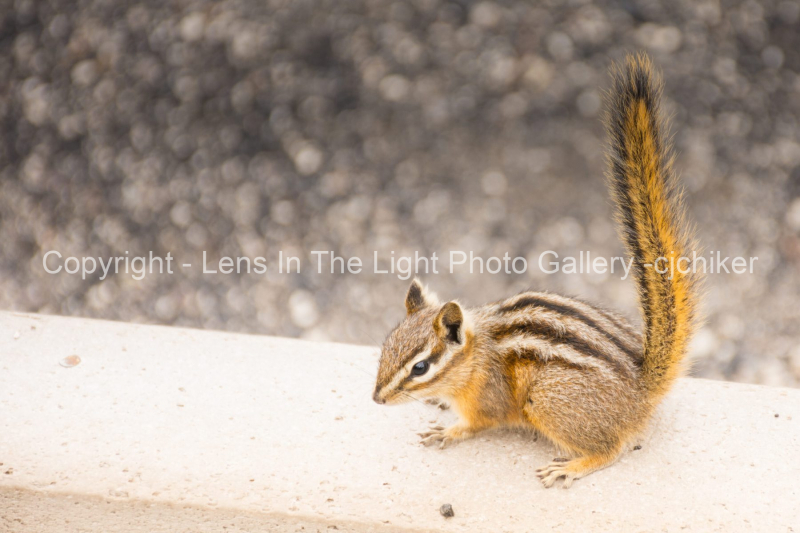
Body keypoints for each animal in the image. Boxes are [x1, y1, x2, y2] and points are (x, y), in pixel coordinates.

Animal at [371, 54, 701, 489]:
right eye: (385, 346)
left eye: (420, 367)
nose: (376, 398)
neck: (474, 356)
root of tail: (641, 385)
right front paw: (440, 404)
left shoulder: (488, 398)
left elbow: (477, 424)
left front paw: (448, 430)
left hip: (545, 399)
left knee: (612, 448)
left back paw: (572, 465)